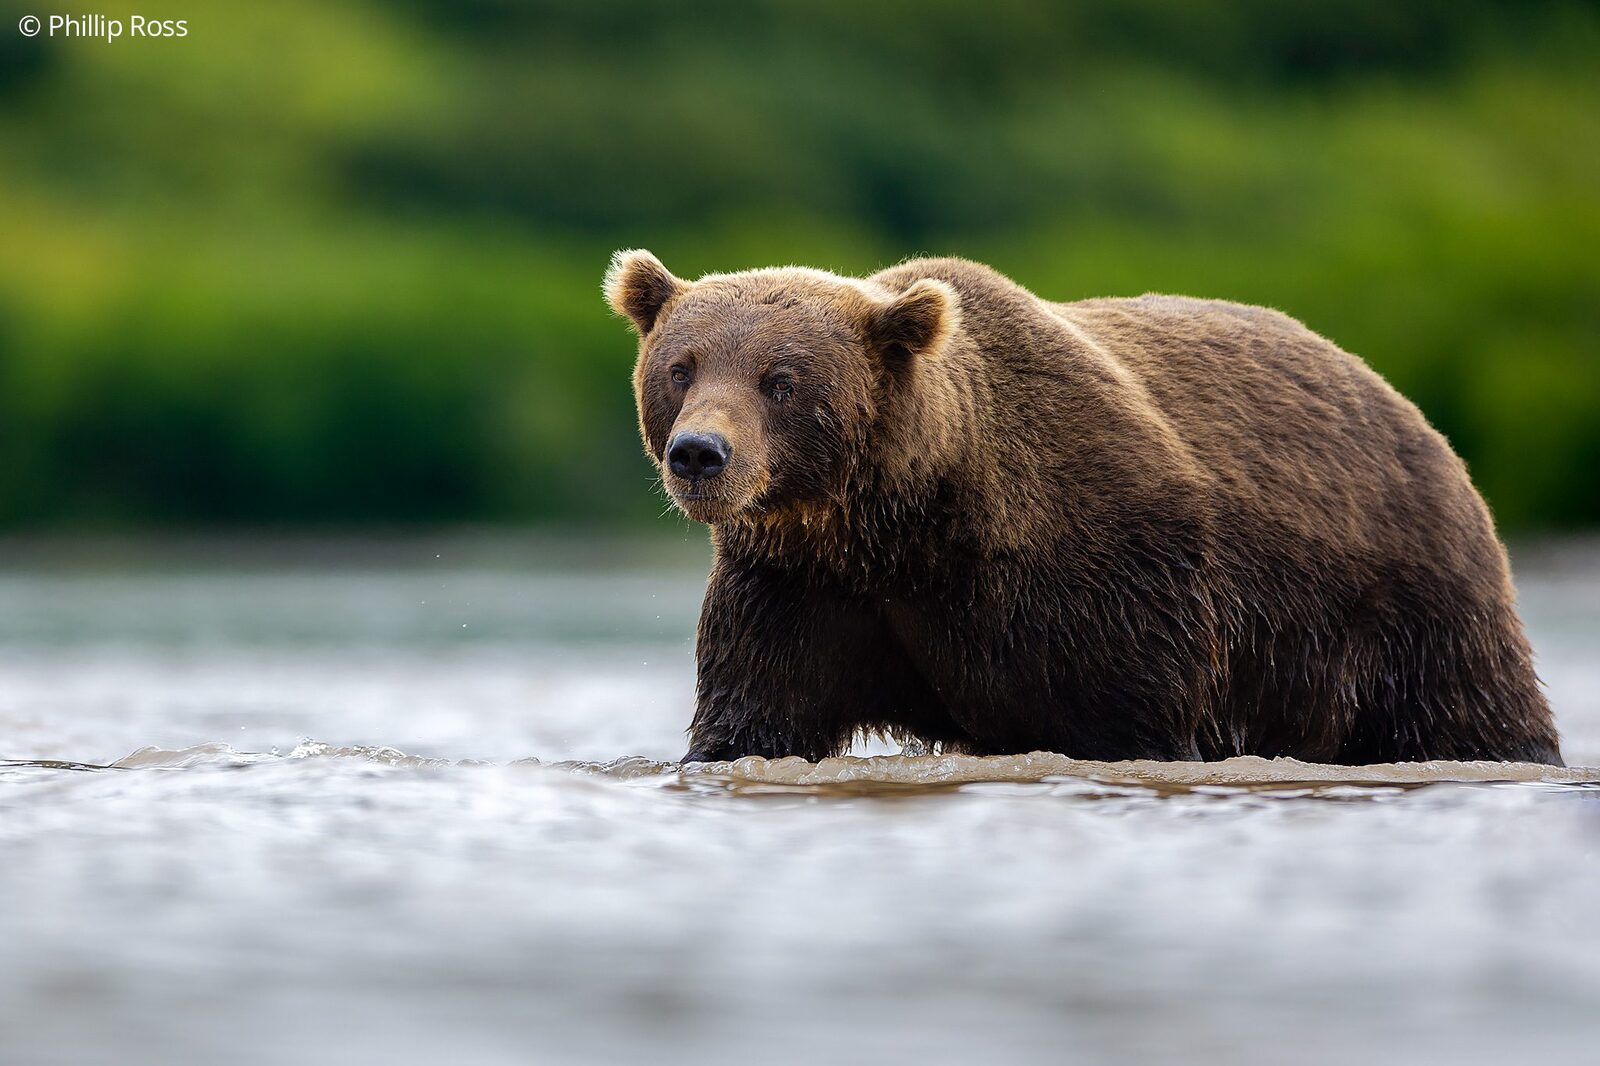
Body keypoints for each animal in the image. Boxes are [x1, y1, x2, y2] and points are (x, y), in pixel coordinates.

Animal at [605, 250, 1562, 767]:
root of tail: (1413, 412)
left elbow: (1127, 714)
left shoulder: (1101, 572)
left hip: (1403, 598)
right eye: (682, 366)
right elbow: (756, 714)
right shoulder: (801, 587)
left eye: (781, 380)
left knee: (1469, 709)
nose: (701, 453)